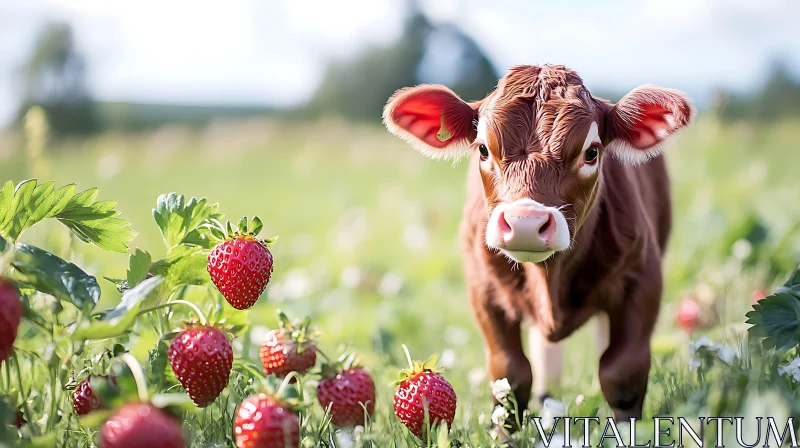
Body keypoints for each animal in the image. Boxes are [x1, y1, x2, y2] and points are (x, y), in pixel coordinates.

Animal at [382, 65, 692, 422]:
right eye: (483, 149)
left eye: (591, 152)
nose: (525, 223)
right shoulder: (483, 289)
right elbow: (509, 374)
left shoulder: (643, 278)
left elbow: (621, 371)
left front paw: (629, 430)